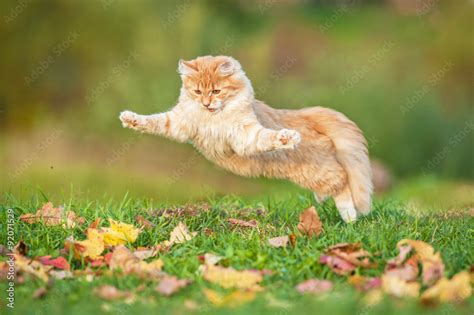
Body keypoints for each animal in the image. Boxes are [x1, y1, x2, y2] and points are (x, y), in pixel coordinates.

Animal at [120, 55, 372, 223]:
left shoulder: (246, 136)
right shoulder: (179, 123)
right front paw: (130, 119)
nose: (206, 104)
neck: (213, 118)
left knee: (343, 182)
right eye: (198, 92)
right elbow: (154, 121)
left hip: (318, 172)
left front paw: (286, 137)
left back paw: (350, 218)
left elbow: (268, 137)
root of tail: (307, 116)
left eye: (216, 91)